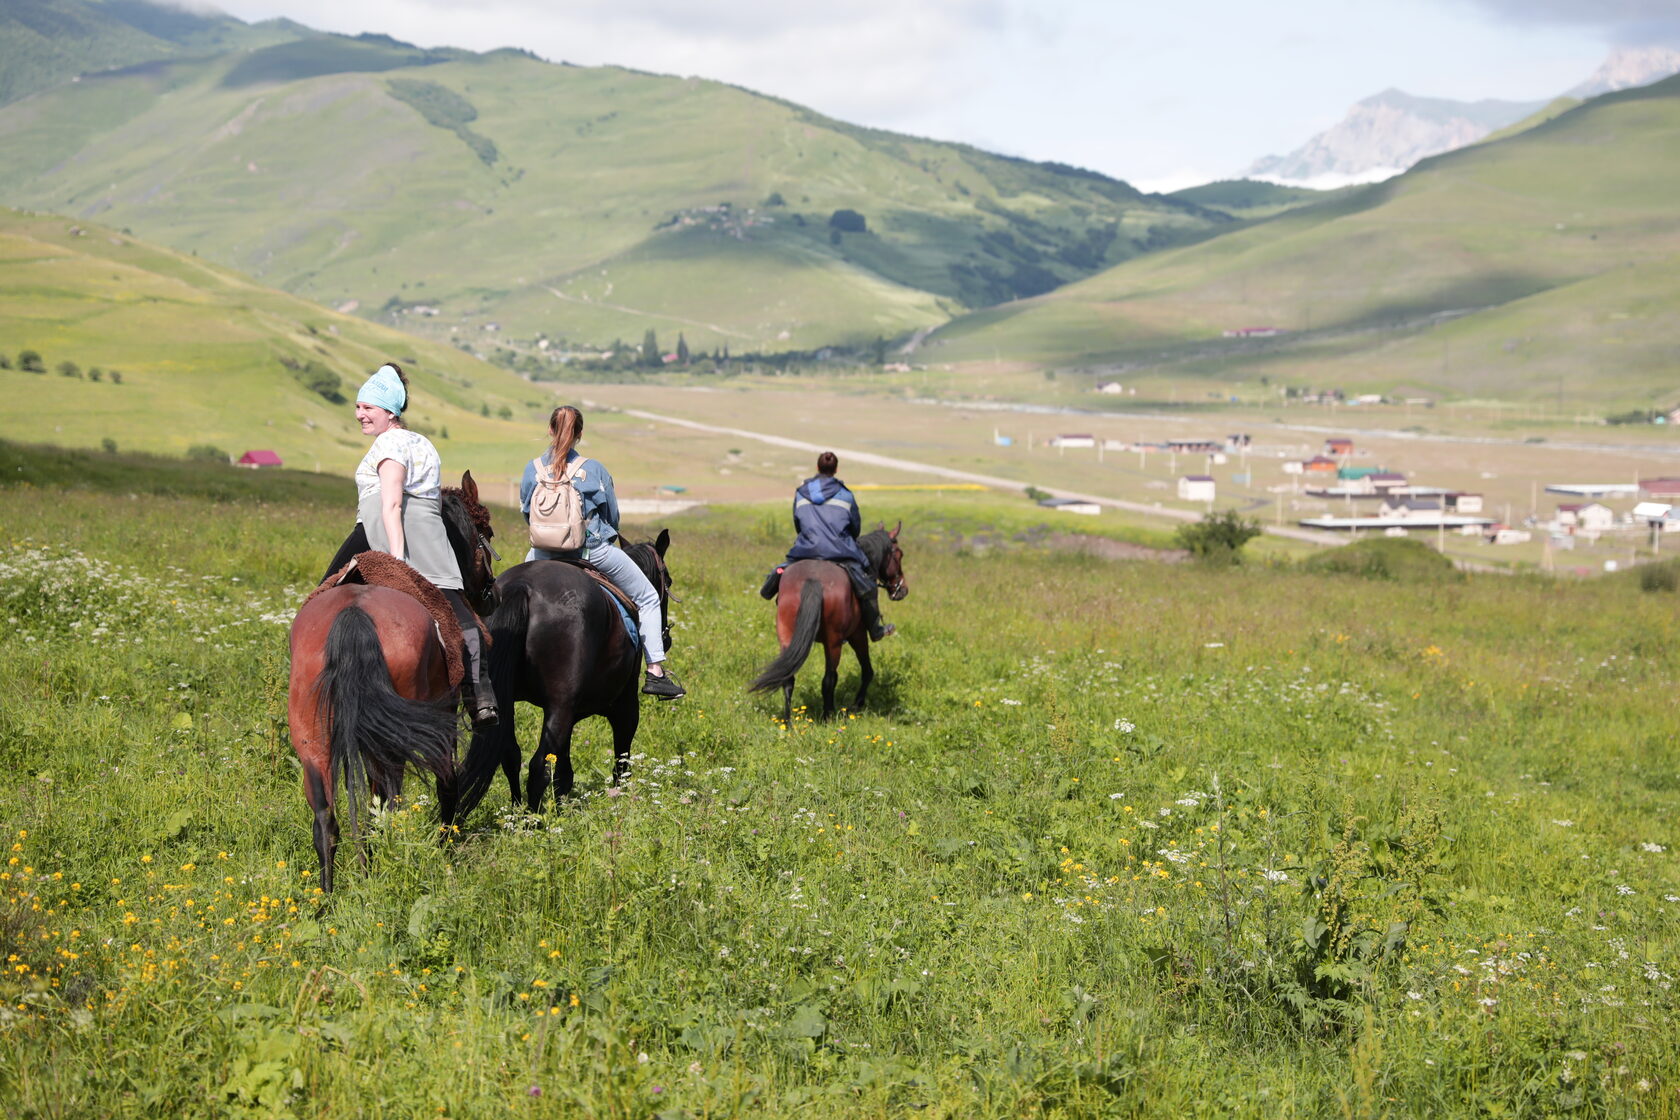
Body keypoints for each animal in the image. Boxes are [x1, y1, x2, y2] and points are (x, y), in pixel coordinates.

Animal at [283, 473, 497, 893]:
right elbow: (448, 784)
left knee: (330, 819)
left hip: (314, 738)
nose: (491, 595)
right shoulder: (443, 723)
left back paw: (332, 896)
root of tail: (354, 612)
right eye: (487, 532)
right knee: (384, 807)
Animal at [460, 533, 675, 816]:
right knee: (539, 765)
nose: (666, 638)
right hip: (561, 706)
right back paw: (534, 820)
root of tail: (522, 587)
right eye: (668, 580)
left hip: (507, 702)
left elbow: (564, 768)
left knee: (511, 755)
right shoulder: (624, 704)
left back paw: (517, 813)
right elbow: (621, 759)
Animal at [749, 527, 907, 728]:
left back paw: (788, 722)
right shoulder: (858, 634)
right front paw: (857, 704)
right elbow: (867, 671)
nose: (902, 590)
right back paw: (828, 717)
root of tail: (813, 579)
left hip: (786, 636)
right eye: (899, 555)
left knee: (788, 678)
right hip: (834, 642)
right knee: (830, 679)